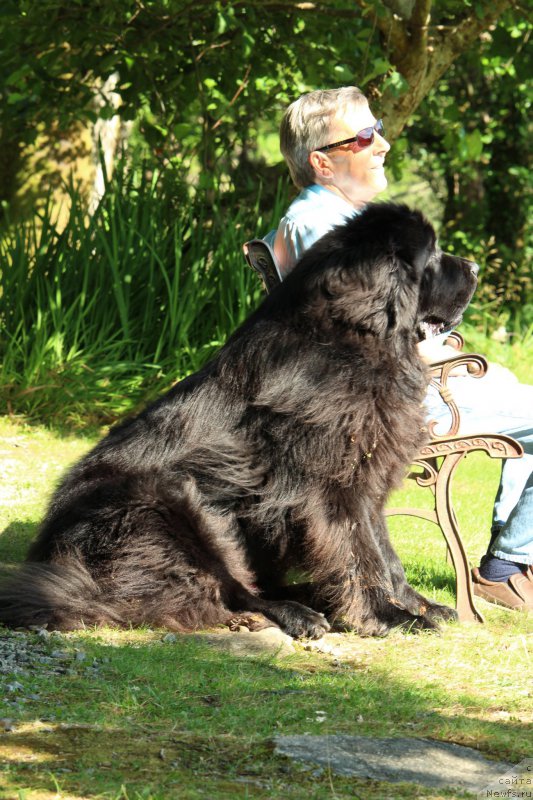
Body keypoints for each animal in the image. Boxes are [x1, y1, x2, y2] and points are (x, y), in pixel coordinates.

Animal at [0, 205, 478, 636]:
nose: (474, 267)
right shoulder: (331, 490)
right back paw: (294, 614)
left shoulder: (369, 479)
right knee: (220, 590)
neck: (356, 341)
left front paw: (418, 604)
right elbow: (359, 554)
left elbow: (384, 550)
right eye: (432, 255)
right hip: (161, 499)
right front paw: (387, 617)